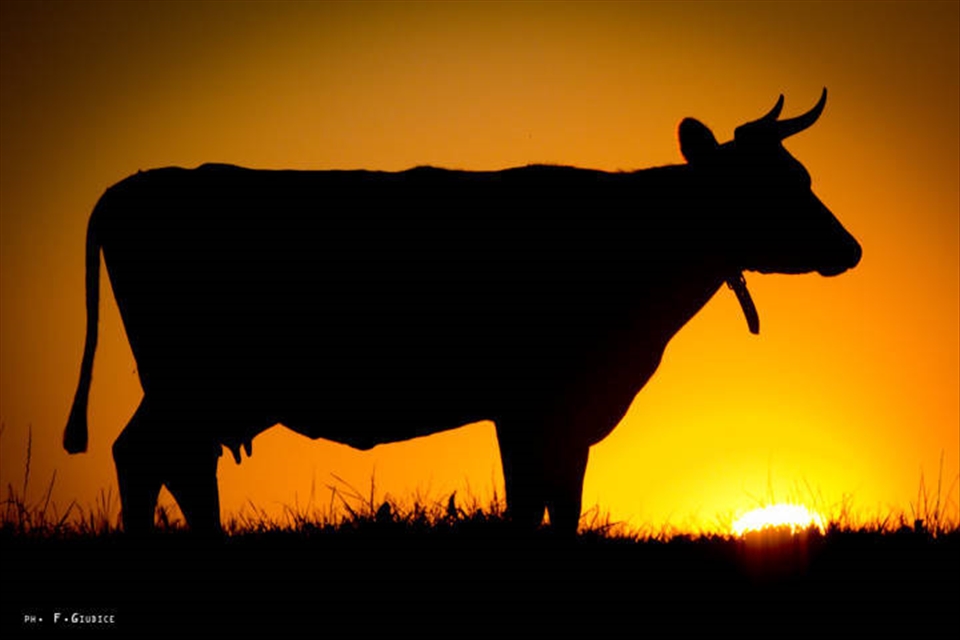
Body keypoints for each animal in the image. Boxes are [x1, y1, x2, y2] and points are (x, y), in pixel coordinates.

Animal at [63, 90, 861, 535]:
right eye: (782, 184)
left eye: (799, 174)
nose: (850, 249)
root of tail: (134, 184)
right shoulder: (535, 406)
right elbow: (536, 503)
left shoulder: (561, 413)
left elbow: (557, 502)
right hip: (186, 382)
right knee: (153, 457)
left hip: (188, 389)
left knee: (165, 460)